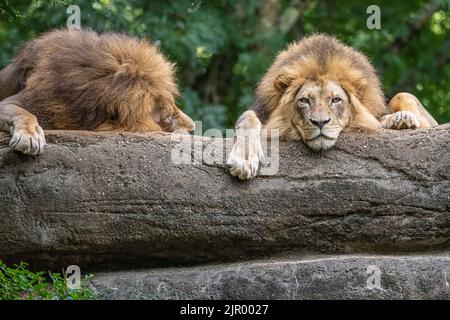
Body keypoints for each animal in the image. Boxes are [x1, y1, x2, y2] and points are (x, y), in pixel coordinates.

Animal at [227, 35, 438, 181]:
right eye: (304, 100)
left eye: (336, 100)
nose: (320, 122)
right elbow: (247, 117)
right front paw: (244, 160)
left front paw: (397, 118)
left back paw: (398, 119)